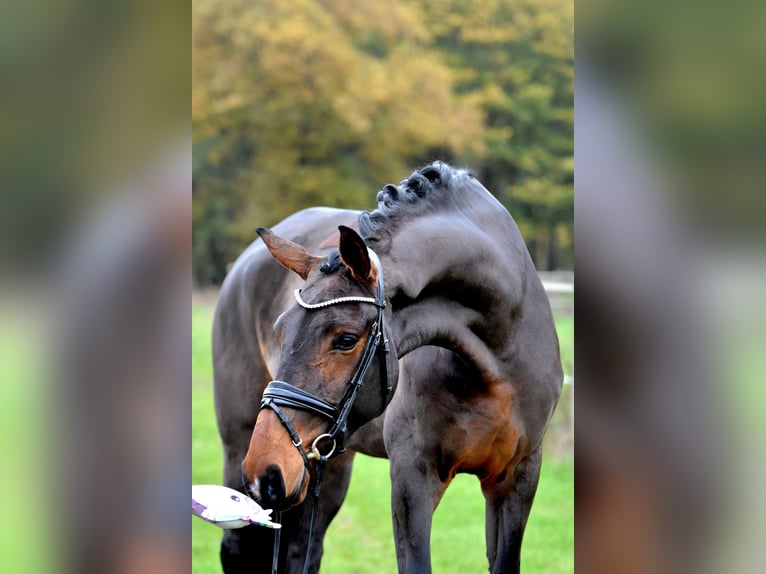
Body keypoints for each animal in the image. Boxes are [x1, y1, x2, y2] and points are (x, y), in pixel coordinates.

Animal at [214, 163, 564, 574]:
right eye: (279, 330)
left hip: (327, 466)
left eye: (346, 339)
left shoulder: (518, 479)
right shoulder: (413, 476)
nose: (265, 470)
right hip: (242, 447)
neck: (497, 360)